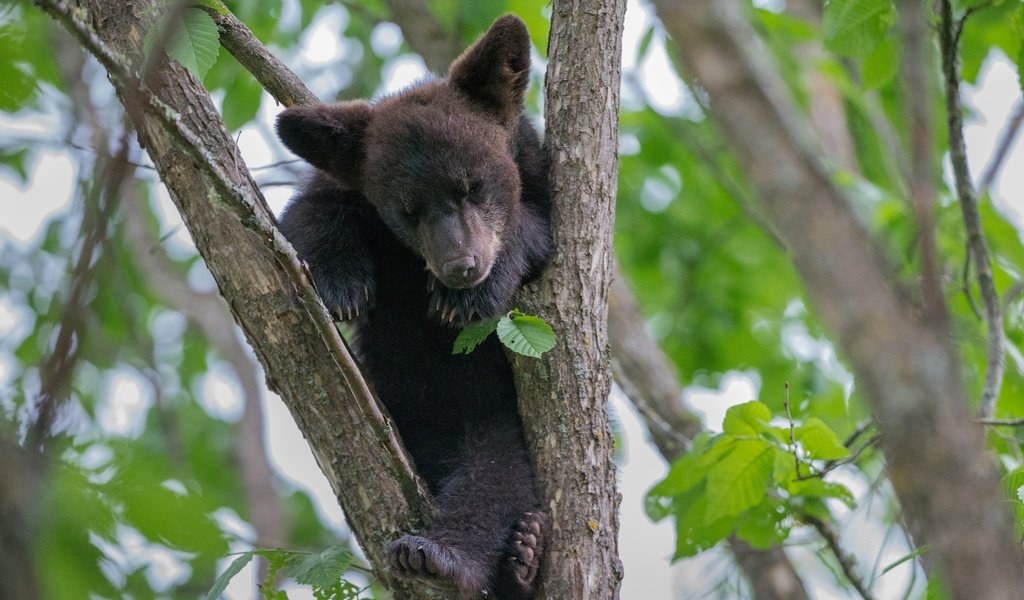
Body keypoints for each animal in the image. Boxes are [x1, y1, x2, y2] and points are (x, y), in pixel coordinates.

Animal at [274, 15, 552, 597]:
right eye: (408, 211)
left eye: (473, 187)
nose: (460, 265)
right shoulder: (342, 183)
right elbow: (307, 213)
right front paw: (341, 282)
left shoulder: (542, 185)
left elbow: (536, 229)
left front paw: (467, 297)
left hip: (498, 419)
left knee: (497, 477)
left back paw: (469, 554)